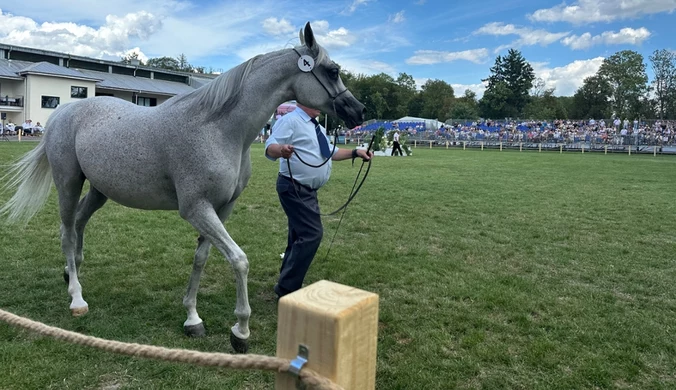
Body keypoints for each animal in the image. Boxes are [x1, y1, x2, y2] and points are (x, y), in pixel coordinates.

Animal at [0, 22, 364, 354]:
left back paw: (70, 270)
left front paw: (192, 317)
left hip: (100, 192)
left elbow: (202, 258)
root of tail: (64, 111)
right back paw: (76, 297)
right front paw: (240, 330)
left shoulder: (221, 209)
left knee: (78, 224)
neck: (218, 129)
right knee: (66, 231)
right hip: (68, 183)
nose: (358, 111)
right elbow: (239, 260)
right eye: (332, 71)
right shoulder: (196, 209)